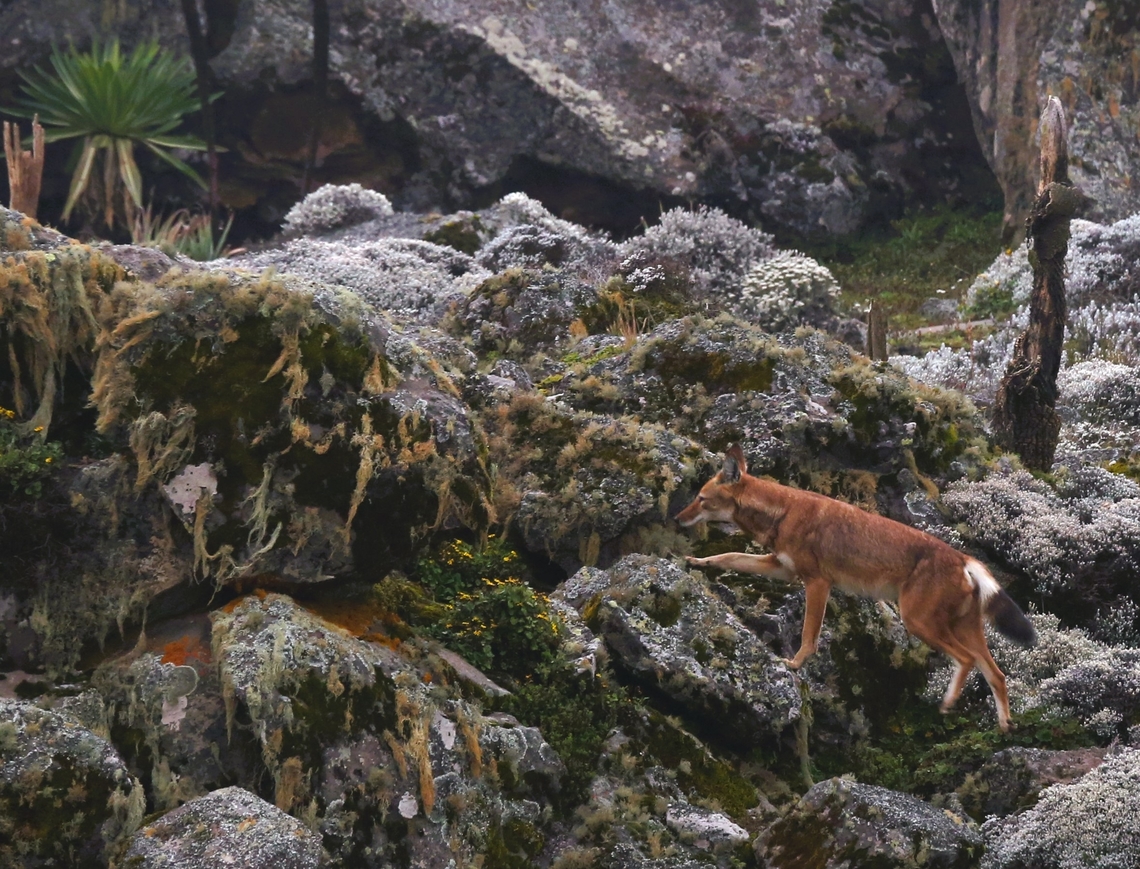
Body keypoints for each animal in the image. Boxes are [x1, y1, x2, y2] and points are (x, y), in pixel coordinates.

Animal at [675, 445, 1036, 731]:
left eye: (701, 499)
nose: (678, 519)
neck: (783, 511)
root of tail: (962, 557)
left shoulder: (817, 582)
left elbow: (809, 636)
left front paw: (794, 665)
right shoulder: (781, 567)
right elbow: (729, 556)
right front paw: (695, 561)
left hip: (918, 623)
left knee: (967, 661)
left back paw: (947, 704)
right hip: (961, 629)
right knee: (997, 674)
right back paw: (1005, 726)